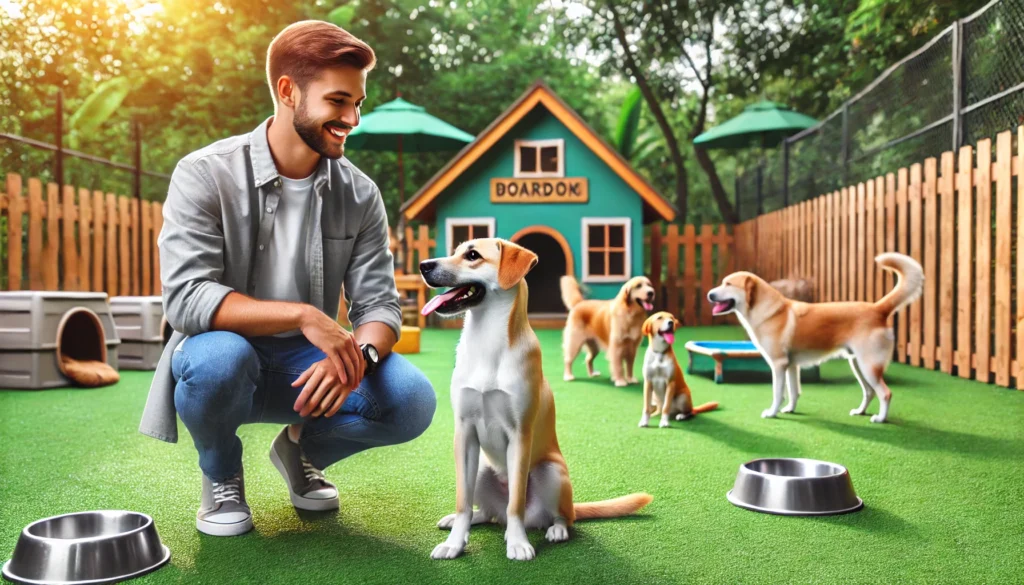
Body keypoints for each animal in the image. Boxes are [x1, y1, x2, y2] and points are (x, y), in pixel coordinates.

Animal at [417, 238, 651, 561]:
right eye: (455, 250)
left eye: (473, 255)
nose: (423, 266)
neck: (486, 342)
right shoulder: (464, 434)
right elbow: (463, 501)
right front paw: (454, 542)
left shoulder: (519, 435)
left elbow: (515, 501)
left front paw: (517, 543)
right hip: (481, 468)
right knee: (488, 513)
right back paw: (464, 521)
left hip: (550, 471)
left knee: (558, 516)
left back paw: (555, 530)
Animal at [708, 254, 925, 424]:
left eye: (728, 284)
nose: (709, 294)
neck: (770, 311)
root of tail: (877, 308)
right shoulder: (791, 366)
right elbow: (794, 391)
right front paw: (790, 409)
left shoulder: (778, 365)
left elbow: (778, 393)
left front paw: (772, 413)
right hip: (858, 365)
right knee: (870, 392)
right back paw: (860, 412)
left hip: (868, 366)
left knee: (885, 393)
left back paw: (880, 418)